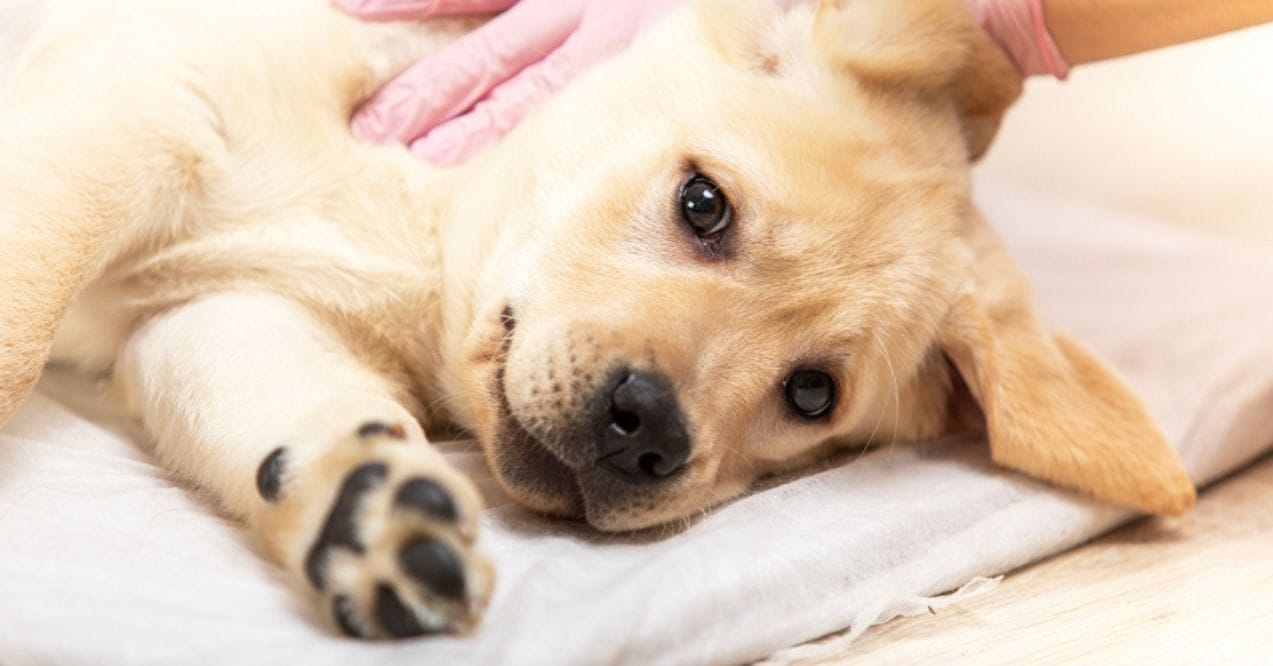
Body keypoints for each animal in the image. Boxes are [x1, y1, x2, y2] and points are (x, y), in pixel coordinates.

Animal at [0, 0, 1191, 644]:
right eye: (703, 205)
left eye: (812, 393)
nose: (646, 430)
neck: (419, 236)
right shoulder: (126, 107)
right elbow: (20, 318)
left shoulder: (216, 313)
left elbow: (303, 419)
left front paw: (370, 512)